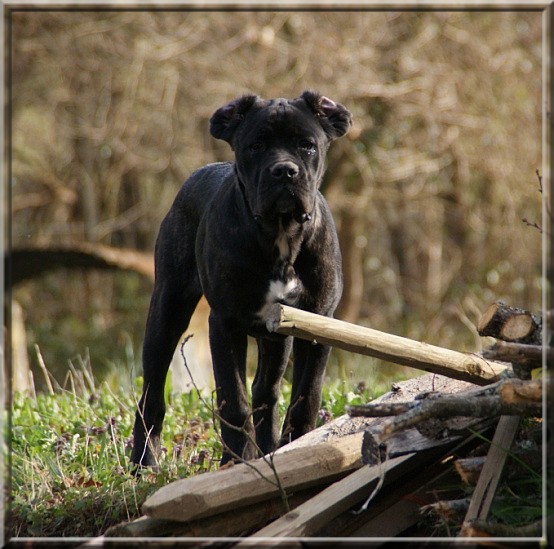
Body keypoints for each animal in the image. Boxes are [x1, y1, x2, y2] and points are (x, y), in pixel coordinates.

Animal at [132, 91, 352, 466]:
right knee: (152, 390)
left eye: (307, 146)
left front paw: (297, 446)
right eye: (256, 146)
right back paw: (143, 461)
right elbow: (232, 399)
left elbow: (306, 396)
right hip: (167, 311)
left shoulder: (317, 324)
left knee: (266, 389)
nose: (284, 170)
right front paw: (238, 461)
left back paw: (270, 448)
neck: (280, 233)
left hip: (279, 338)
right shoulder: (225, 324)